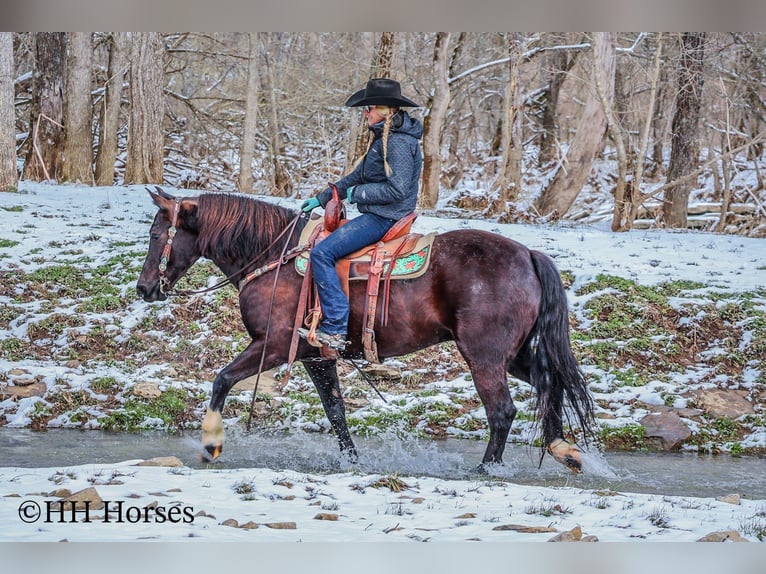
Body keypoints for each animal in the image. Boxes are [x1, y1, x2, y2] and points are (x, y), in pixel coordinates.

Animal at [136, 187, 595, 473]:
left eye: (157, 234)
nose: (144, 289)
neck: (272, 257)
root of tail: (528, 254)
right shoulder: (316, 357)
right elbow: (336, 411)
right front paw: (352, 462)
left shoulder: (273, 345)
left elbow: (222, 379)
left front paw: (211, 443)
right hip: (511, 355)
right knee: (550, 382)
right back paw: (563, 449)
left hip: (483, 355)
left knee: (502, 410)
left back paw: (486, 469)